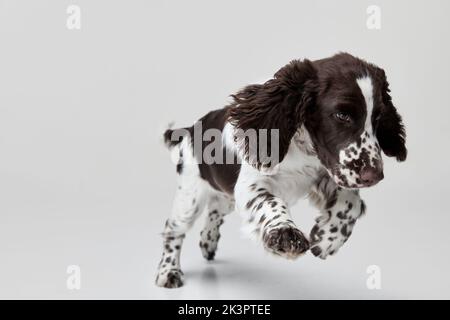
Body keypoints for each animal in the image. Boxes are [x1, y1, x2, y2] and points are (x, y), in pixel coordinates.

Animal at [156, 52, 406, 288]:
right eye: (342, 115)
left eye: (378, 117)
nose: (374, 176)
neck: (303, 148)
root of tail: (190, 130)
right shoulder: (251, 184)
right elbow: (270, 202)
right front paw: (286, 236)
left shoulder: (323, 175)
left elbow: (351, 202)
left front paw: (326, 238)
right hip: (191, 196)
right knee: (173, 229)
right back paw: (168, 272)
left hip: (223, 194)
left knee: (215, 211)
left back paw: (208, 242)